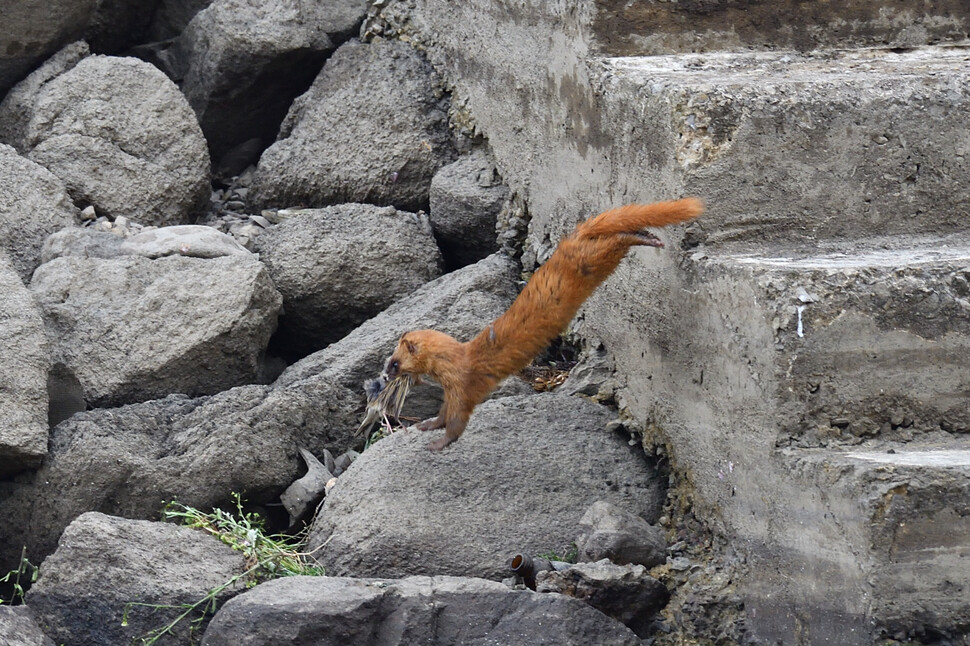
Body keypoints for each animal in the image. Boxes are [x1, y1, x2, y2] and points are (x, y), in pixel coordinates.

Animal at [386, 197, 704, 450]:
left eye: (394, 362)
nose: (384, 377)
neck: (455, 360)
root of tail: (573, 236)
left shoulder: (463, 387)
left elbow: (456, 420)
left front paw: (437, 443)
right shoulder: (451, 391)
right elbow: (443, 414)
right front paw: (426, 425)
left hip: (593, 258)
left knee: (618, 239)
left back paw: (648, 238)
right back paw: (647, 233)